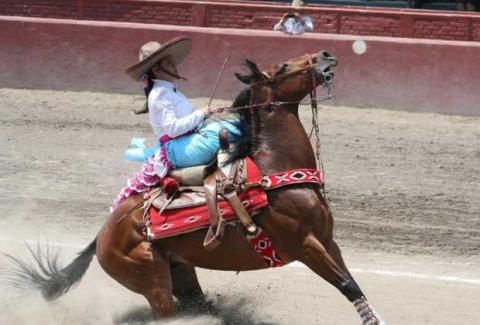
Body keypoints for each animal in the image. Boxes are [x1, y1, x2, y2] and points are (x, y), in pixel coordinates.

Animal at [6, 52, 382, 322]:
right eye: (284, 66)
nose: (326, 55)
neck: (274, 169)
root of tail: (103, 235)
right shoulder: (303, 245)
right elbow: (347, 285)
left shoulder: (328, 242)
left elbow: (354, 284)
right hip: (153, 283)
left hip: (181, 273)